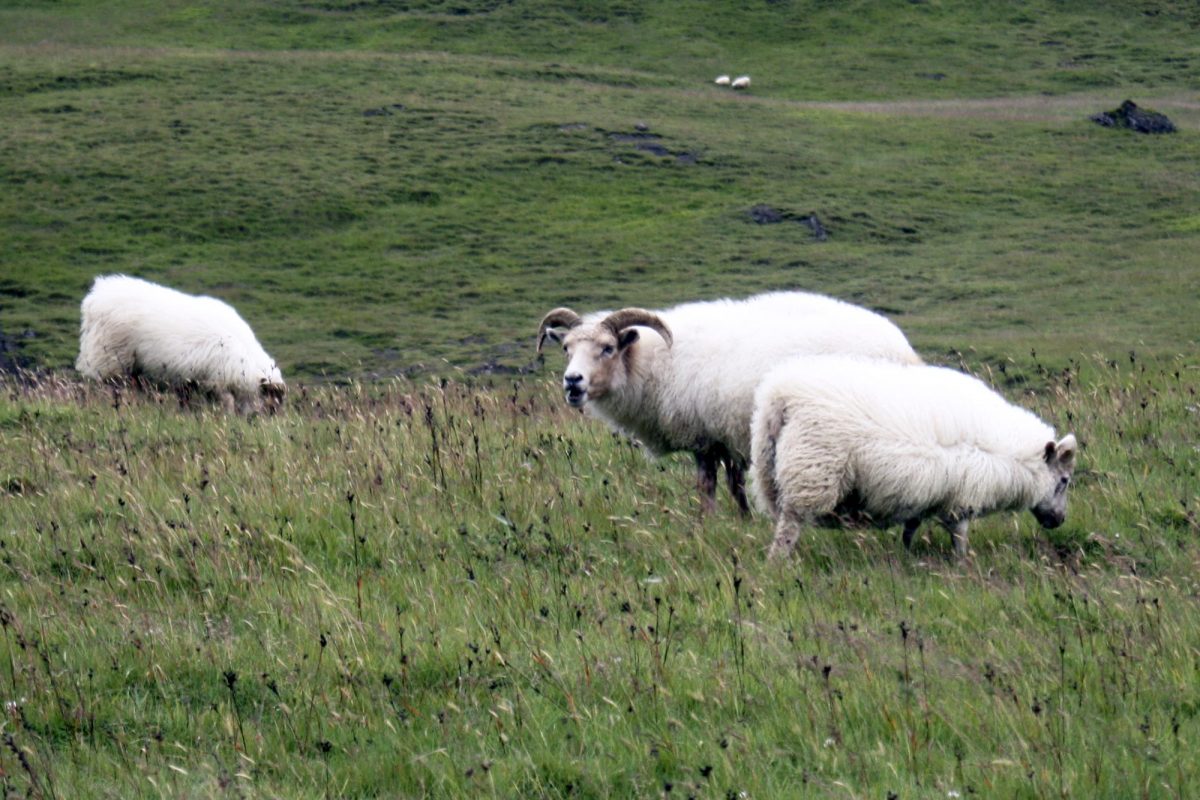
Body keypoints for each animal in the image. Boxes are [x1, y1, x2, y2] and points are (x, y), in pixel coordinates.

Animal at [75, 273, 285, 412]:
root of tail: (95, 296)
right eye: (272, 405)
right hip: (109, 359)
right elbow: (226, 403)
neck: (247, 358)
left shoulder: (192, 380)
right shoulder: (217, 381)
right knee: (109, 387)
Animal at [540, 292, 921, 513]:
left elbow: (707, 485)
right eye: (567, 348)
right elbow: (735, 485)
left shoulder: (704, 437)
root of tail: (902, 347)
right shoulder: (728, 435)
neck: (650, 361)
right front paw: (743, 519)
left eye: (607, 348)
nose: (572, 381)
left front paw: (704, 525)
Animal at [748, 359, 1080, 561]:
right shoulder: (962, 498)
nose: (1060, 521)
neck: (1012, 457)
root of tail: (780, 397)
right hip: (813, 472)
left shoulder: (924, 494)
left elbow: (911, 527)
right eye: (1064, 480)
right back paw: (778, 564)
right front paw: (963, 564)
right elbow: (959, 535)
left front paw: (905, 555)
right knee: (789, 526)